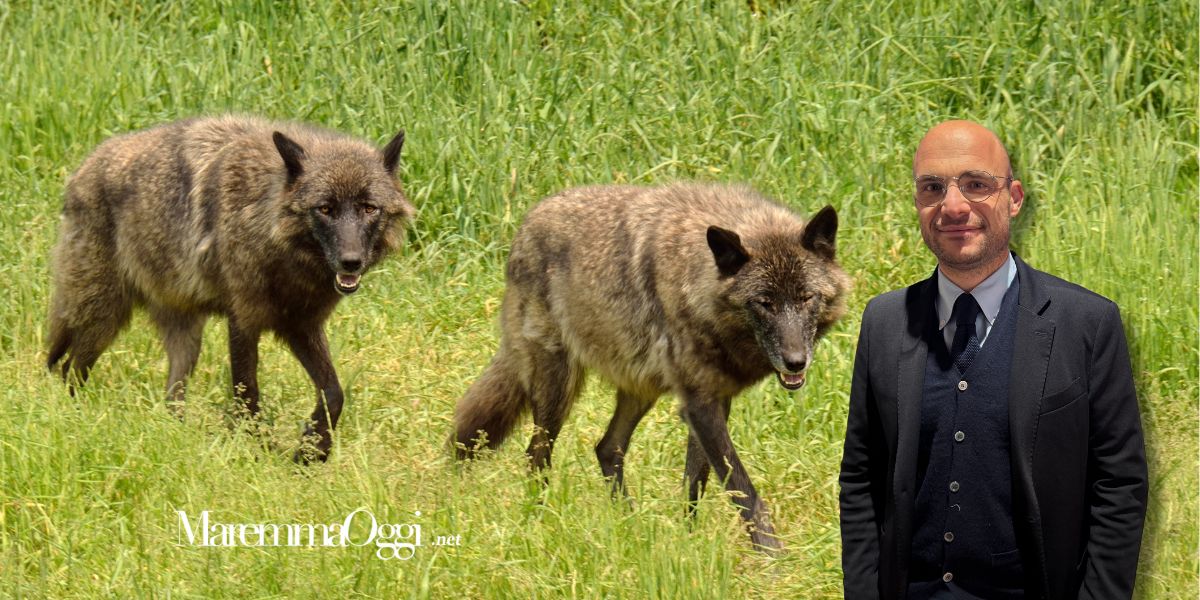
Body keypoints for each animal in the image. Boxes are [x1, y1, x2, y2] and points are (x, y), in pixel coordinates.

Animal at [46, 114, 415, 460]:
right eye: (325, 209)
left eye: (369, 208)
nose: (351, 262)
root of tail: (79, 173)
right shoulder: (243, 321)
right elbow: (247, 393)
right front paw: (256, 452)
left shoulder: (301, 326)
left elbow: (334, 392)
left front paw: (312, 451)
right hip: (102, 318)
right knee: (68, 369)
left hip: (185, 341)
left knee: (170, 399)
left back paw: (177, 437)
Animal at [453, 182, 849, 552]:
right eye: (764, 303)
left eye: (806, 298)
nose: (796, 361)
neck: (696, 284)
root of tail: (527, 223)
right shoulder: (699, 405)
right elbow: (741, 489)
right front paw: (773, 557)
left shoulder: (710, 401)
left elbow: (696, 482)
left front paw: (689, 543)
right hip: (558, 390)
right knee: (537, 454)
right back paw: (539, 522)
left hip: (639, 391)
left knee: (607, 448)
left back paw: (629, 526)